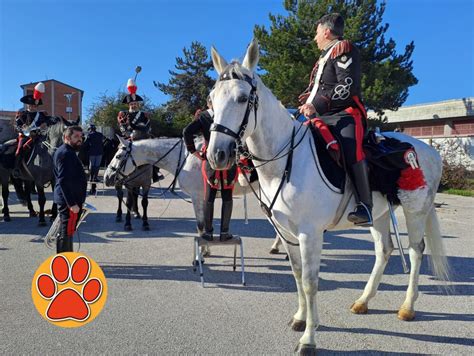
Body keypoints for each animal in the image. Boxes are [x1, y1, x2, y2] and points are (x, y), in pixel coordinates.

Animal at [206, 39, 448, 354]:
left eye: (243, 98)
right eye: (212, 99)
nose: (217, 155)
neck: (286, 160)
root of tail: (429, 150)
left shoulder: (310, 233)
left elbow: (310, 282)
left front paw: (309, 338)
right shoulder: (286, 233)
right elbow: (297, 274)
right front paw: (300, 318)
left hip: (415, 211)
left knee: (416, 251)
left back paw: (407, 307)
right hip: (379, 214)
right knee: (384, 250)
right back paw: (363, 301)